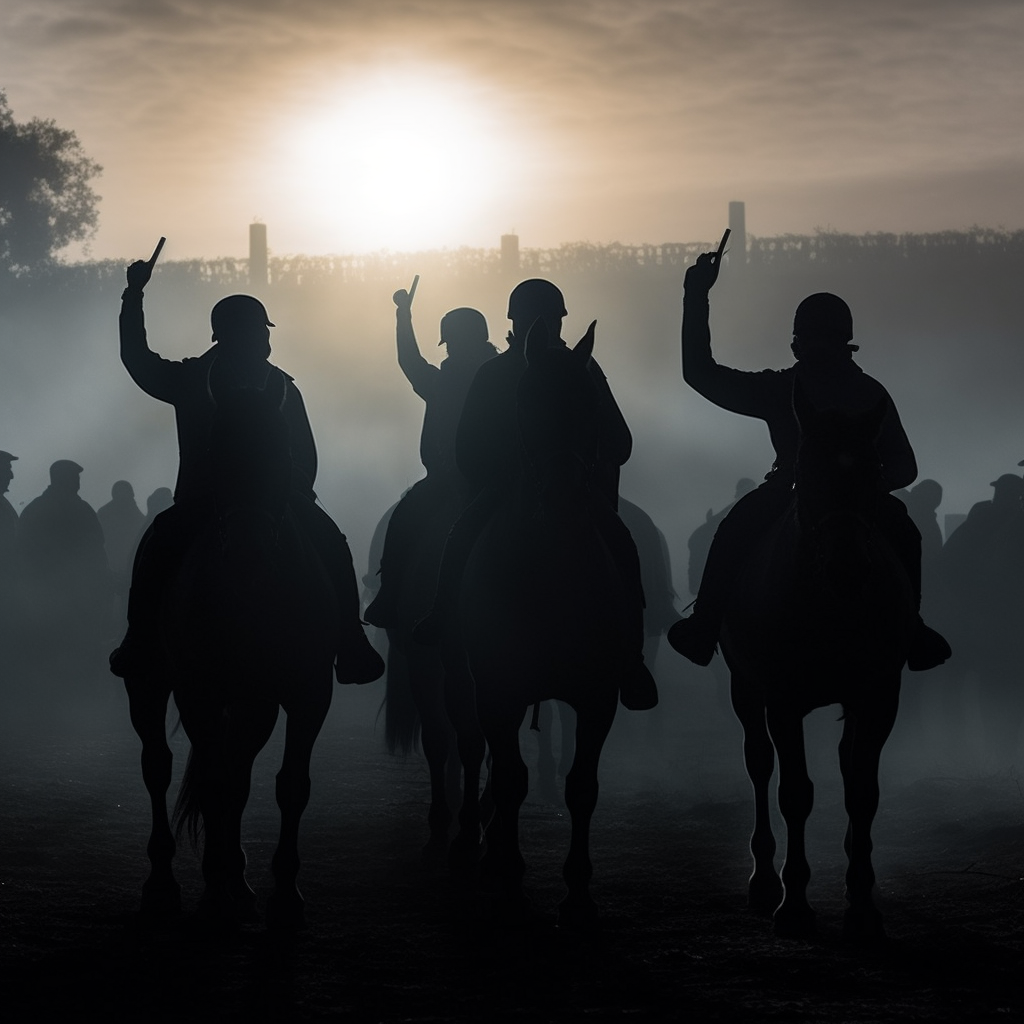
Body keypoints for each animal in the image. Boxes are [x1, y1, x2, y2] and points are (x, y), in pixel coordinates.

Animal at [124, 364, 335, 925]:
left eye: (279, 454)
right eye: (216, 453)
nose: (247, 551)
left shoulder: (307, 693)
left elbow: (289, 784)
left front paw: (283, 893)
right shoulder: (198, 689)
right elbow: (214, 776)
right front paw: (216, 890)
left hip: (253, 701)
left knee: (236, 769)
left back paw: (235, 877)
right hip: (149, 682)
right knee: (158, 766)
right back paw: (163, 884)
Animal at [454, 325, 626, 929]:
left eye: (591, 403)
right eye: (525, 403)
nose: (563, 496)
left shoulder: (598, 696)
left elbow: (582, 787)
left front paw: (578, 889)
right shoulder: (498, 693)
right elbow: (510, 779)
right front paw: (508, 873)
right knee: (473, 750)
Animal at [720, 385, 913, 942]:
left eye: (873, 470)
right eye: (805, 471)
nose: (848, 569)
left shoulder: (878, 695)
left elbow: (862, 791)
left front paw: (863, 905)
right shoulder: (783, 700)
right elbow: (795, 793)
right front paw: (794, 904)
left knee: (848, 765)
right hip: (744, 687)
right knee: (759, 764)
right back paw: (764, 881)